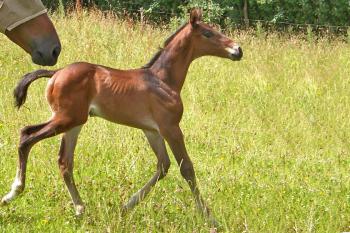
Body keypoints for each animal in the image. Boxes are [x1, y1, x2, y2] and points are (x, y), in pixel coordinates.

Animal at [2, 8, 243, 224]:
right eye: (208, 33)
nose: (238, 50)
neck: (163, 80)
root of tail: (56, 73)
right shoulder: (171, 128)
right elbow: (187, 168)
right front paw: (210, 218)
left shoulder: (152, 130)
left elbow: (163, 166)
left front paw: (126, 206)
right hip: (66, 119)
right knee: (26, 136)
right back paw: (13, 193)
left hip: (74, 122)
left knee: (64, 161)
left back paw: (80, 209)